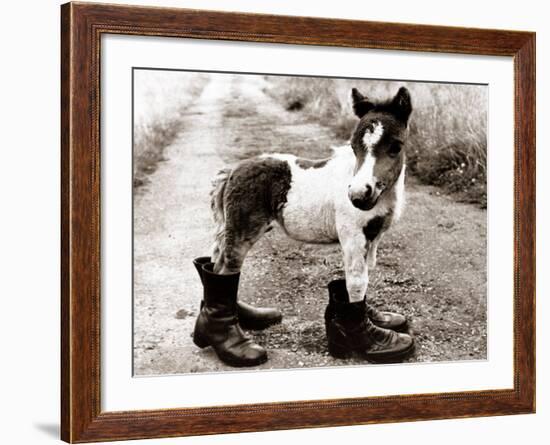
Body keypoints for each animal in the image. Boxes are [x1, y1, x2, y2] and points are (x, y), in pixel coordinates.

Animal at [194, 86, 414, 364]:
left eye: (396, 147)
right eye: (354, 147)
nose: (358, 195)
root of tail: (232, 170)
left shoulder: (371, 239)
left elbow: (361, 280)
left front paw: (381, 319)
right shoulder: (353, 237)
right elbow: (357, 282)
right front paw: (370, 340)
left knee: (215, 264)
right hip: (242, 231)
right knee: (225, 270)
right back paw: (231, 343)